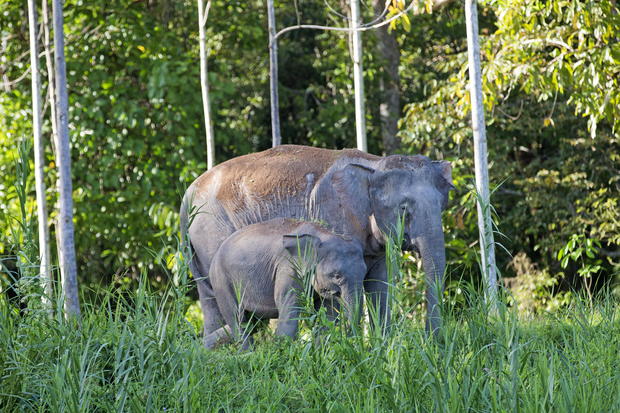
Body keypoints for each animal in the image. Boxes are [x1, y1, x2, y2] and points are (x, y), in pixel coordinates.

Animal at [206, 217, 366, 346]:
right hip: (221, 281)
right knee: (238, 321)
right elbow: (290, 306)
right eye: (337, 275)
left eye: (365, 273)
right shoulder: (288, 267)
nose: (353, 341)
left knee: (252, 323)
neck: (320, 235)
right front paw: (284, 350)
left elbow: (327, 312)